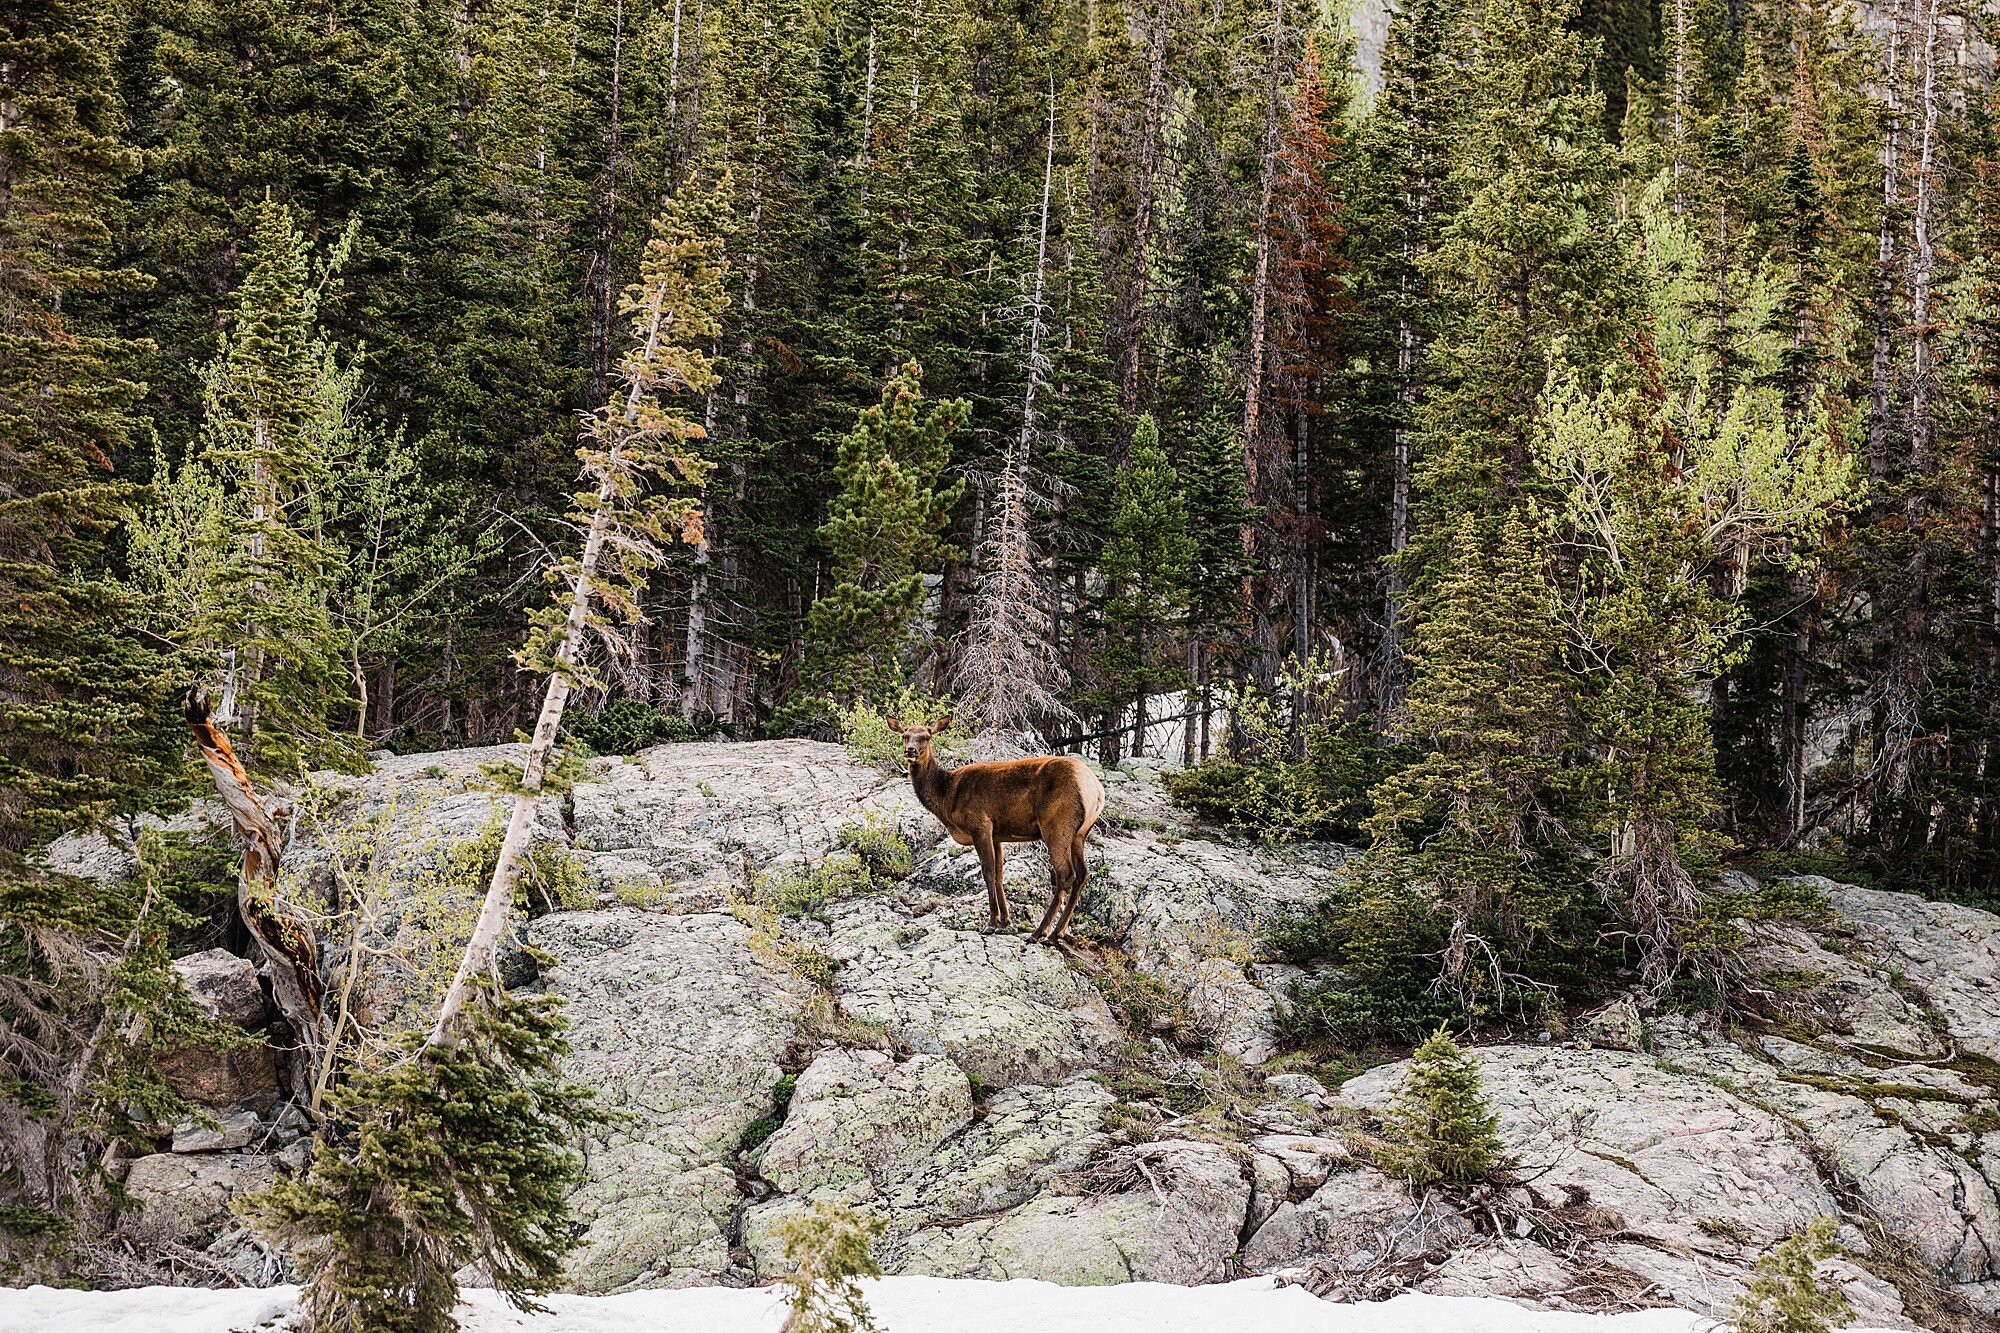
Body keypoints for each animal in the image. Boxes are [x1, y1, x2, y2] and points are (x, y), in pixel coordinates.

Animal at [892, 712, 1112, 940]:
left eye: (926, 736)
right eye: (904, 736)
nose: (910, 751)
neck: (947, 796)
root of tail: (1096, 790)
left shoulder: (980, 825)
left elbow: (988, 873)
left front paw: (991, 924)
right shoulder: (996, 834)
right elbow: (999, 875)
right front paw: (1004, 921)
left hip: (1057, 824)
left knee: (1066, 876)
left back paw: (1040, 932)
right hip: (1080, 834)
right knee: (1083, 875)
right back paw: (1057, 932)